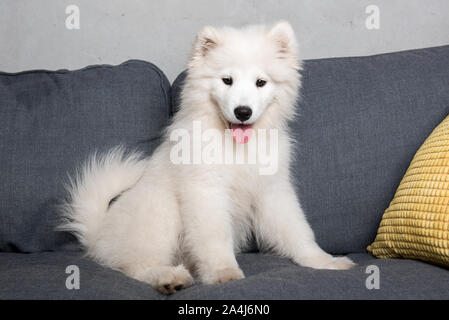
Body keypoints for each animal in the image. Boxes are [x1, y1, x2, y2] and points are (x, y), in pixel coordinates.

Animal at [59, 20, 354, 296]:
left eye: (260, 82)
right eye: (227, 80)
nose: (243, 112)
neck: (236, 149)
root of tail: (99, 236)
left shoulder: (272, 191)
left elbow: (297, 229)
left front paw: (324, 261)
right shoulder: (206, 191)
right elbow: (215, 236)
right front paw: (224, 273)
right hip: (159, 212)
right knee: (136, 266)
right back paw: (168, 277)